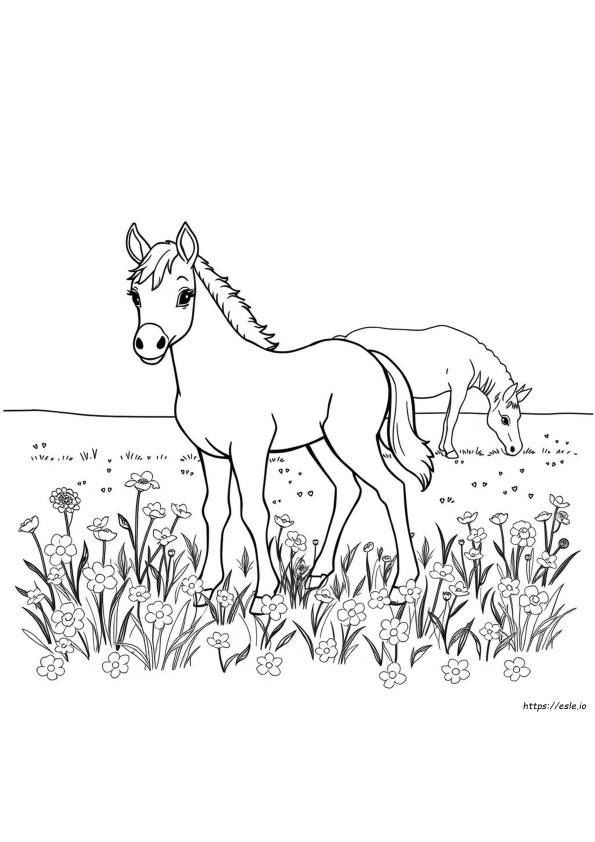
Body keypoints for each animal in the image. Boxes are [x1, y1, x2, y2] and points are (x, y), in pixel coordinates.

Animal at [126, 222, 434, 610]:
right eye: (135, 295)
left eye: (185, 294)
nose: (148, 345)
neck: (217, 376)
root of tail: (371, 356)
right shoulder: (210, 453)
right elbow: (214, 510)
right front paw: (204, 587)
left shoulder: (249, 451)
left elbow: (254, 512)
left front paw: (264, 594)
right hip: (322, 444)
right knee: (348, 489)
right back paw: (317, 573)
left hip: (353, 442)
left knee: (393, 488)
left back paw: (402, 586)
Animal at [339, 326, 531, 459]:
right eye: (504, 419)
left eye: (519, 418)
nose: (515, 449)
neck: (470, 358)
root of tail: (345, 338)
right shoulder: (459, 389)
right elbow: (452, 420)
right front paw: (451, 451)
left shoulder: (453, 391)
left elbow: (446, 419)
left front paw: (442, 449)